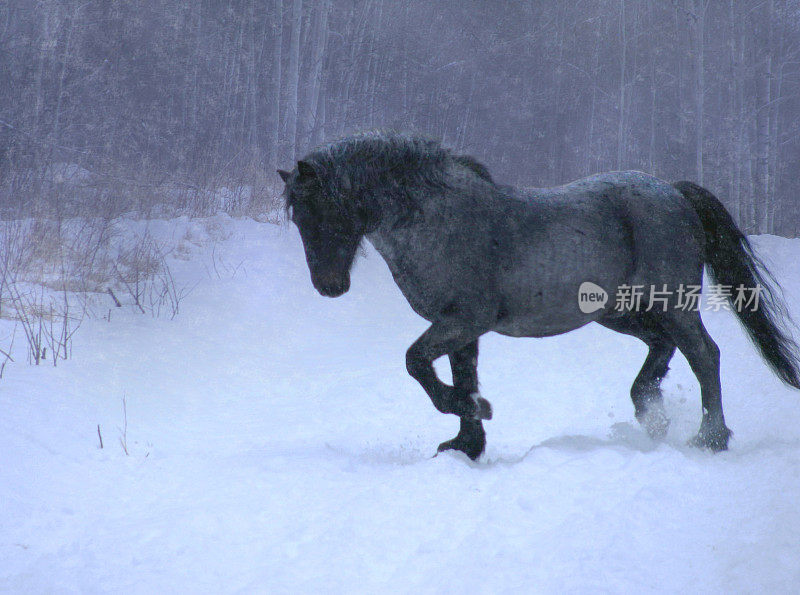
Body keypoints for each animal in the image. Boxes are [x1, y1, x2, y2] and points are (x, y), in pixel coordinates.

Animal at [278, 132, 796, 460]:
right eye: (297, 216)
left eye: (323, 208)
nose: (329, 286)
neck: (437, 219)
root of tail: (673, 191)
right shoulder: (462, 329)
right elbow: (461, 376)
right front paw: (466, 443)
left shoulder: (462, 321)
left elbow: (417, 364)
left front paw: (475, 414)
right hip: (620, 311)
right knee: (662, 349)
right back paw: (650, 413)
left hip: (669, 304)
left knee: (704, 354)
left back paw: (710, 438)